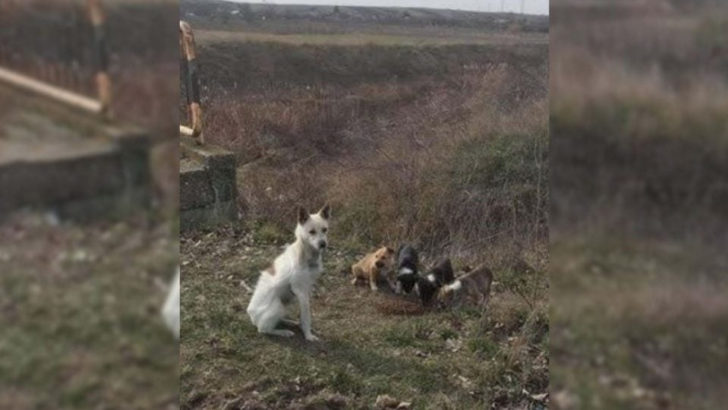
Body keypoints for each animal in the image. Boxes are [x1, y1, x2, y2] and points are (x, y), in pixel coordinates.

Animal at [247, 203, 332, 342]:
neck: (306, 254)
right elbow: (306, 317)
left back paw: (288, 322)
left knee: (277, 320)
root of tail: (250, 314)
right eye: (312, 231)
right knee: (263, 329)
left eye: (325, 229)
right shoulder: (301, 292)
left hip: (285, 302)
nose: (323, 244)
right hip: (278, 305)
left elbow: (304, 316)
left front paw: (303, 329)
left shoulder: (306, 290)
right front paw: (308, 335)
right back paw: (283, 332)